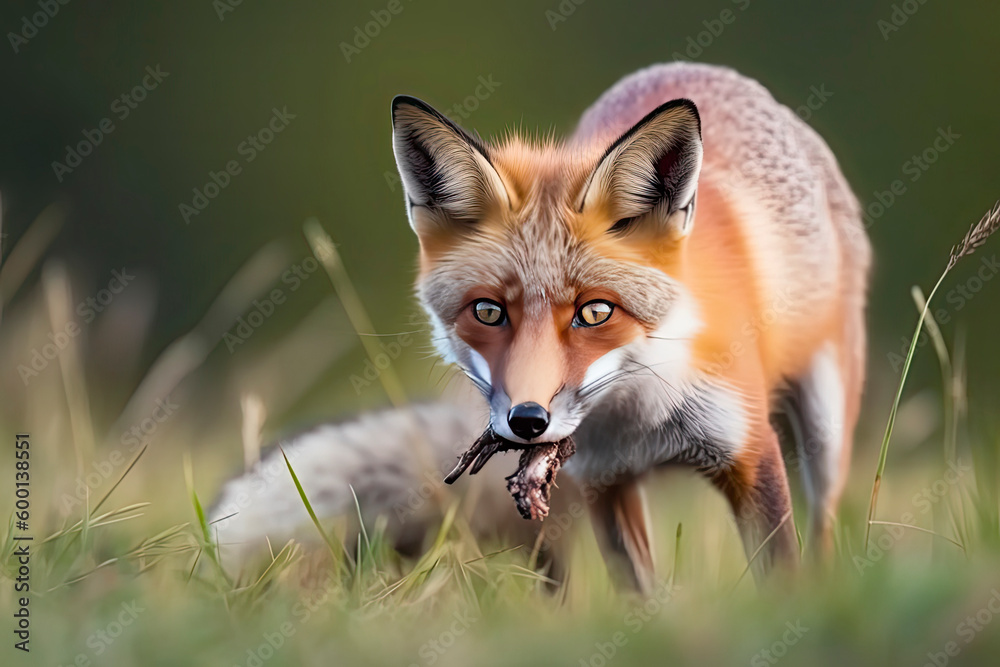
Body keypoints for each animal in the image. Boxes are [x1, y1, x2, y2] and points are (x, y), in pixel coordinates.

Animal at [211, 62, 868, 596]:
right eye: (488, 312)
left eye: (595, 313)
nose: (528, 421)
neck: (641, 420)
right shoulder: (605, 484)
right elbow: (641, 598)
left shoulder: (750, 456)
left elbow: (779, 573)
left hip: (826, 427)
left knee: (824, 523)